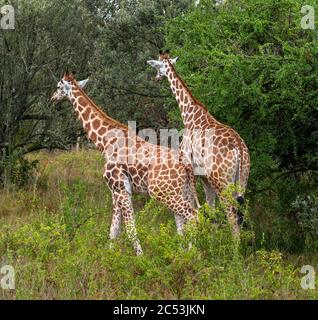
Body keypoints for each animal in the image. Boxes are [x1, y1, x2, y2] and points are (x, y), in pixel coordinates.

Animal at [51, 72, 198, 255]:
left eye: (58, 86)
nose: (52, 98)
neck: (104, 142)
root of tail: (187, 165)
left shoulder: (121, 189)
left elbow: (130, 229)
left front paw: (140, 257)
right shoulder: (114, 191)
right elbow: (114, 230)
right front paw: (109, 255)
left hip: (163, 192)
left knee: (193, 216)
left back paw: (193, 254)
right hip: (181, 191)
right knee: (183, 223)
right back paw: (184, 253)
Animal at [147, 50, 251, 235]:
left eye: (157, 66)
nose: (156, 78)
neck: (189, 115)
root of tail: (239, 149)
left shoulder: (189, 167)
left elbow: (196, 206)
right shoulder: (204, 177)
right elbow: (210, 210)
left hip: (222, 182)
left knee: (232, 216)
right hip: (242, 180)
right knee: (241, 214)